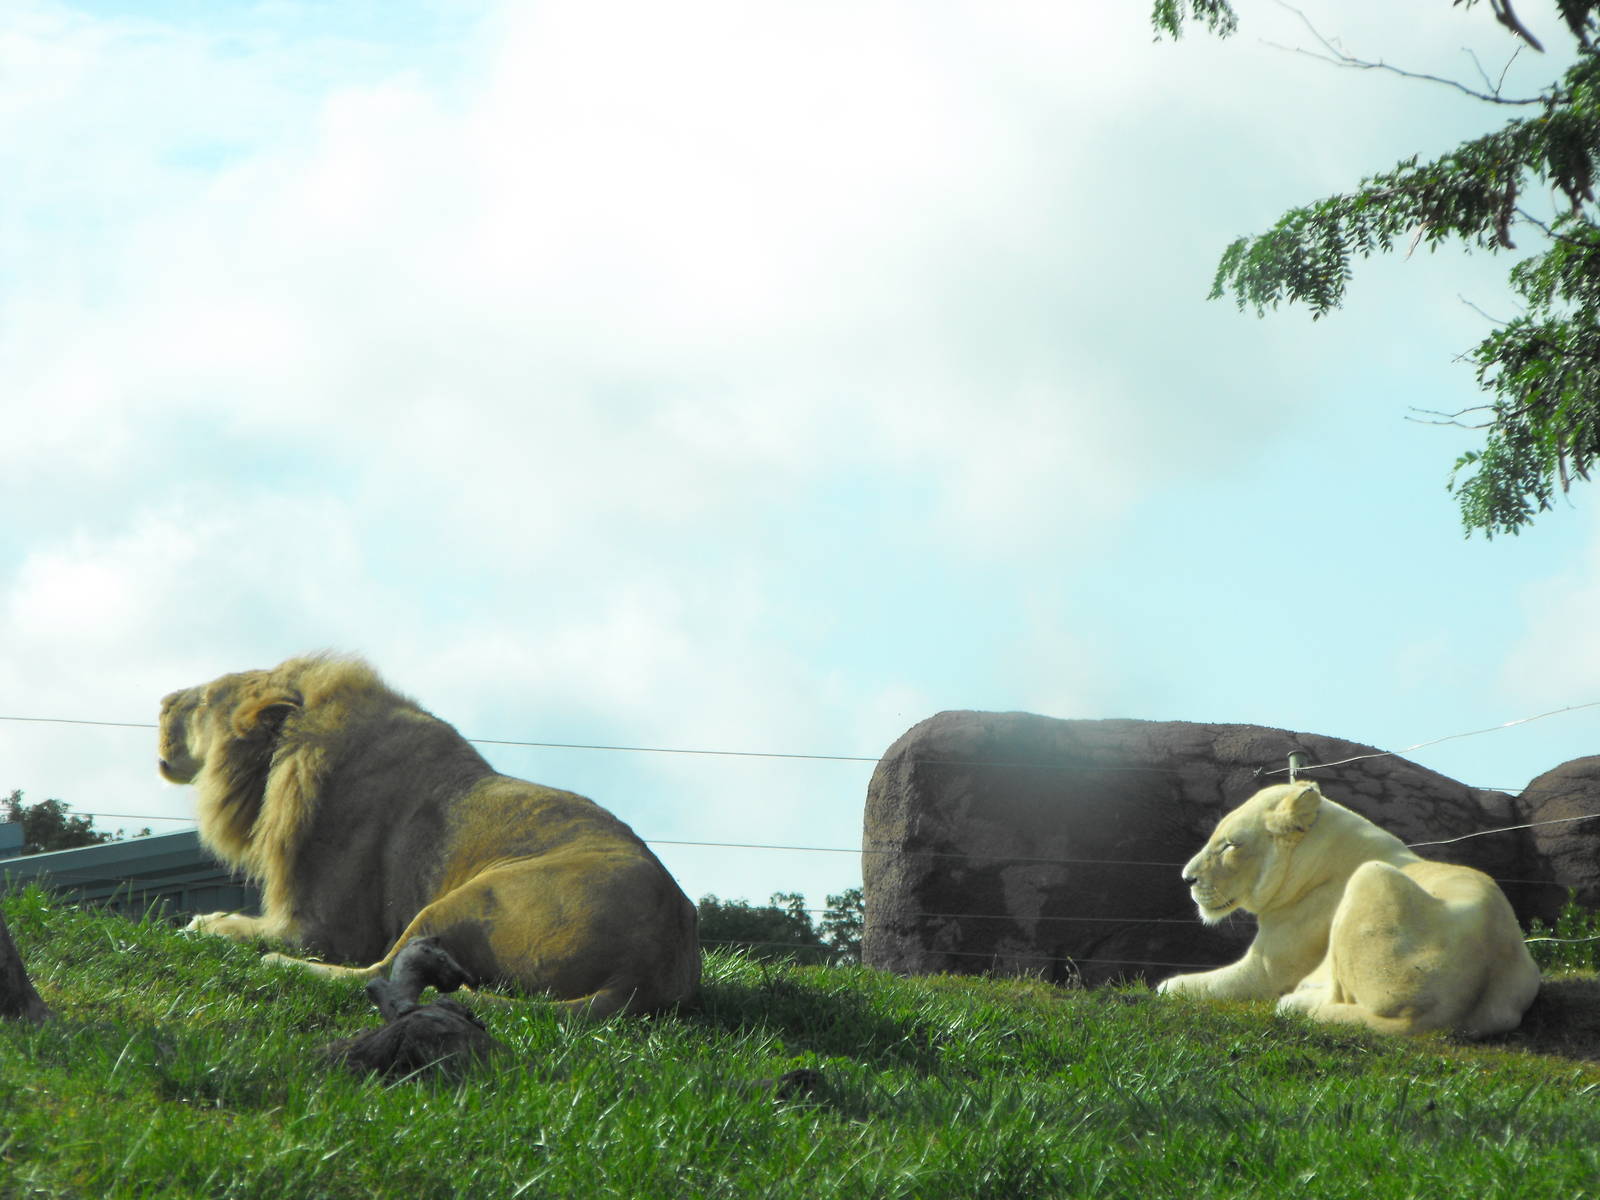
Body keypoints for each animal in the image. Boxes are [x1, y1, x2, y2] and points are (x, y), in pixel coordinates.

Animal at [158, 654, 701, 1017]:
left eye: (201, 701)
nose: (162, 699)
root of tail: (642, 969)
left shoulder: (321, 929)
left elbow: (243, 927)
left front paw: (204, 924)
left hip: (468, 897)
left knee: (380, 974)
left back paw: (277, 963)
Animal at [1156, 780, 1540, 1037]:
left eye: (1230, 845)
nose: (1187, 878)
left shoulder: (1266, 971)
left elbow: (1184, 987)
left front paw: (1166, 986)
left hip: (1371, 880)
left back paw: (1297, 1002)